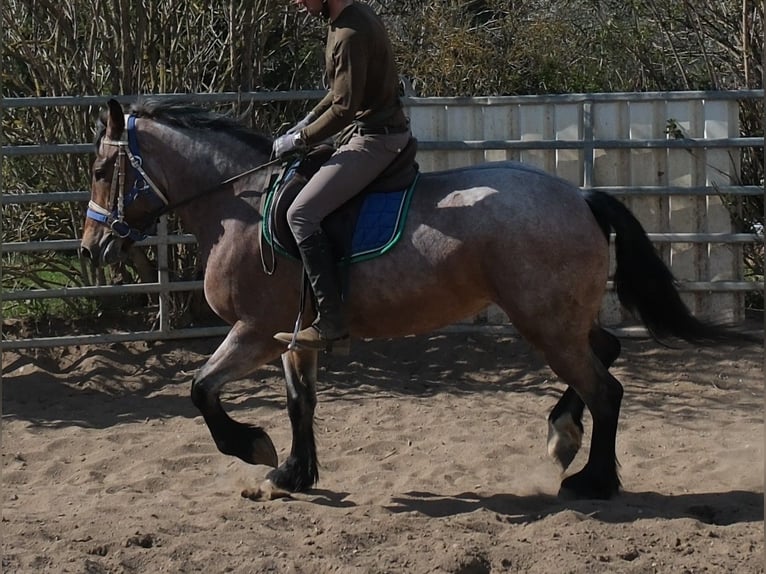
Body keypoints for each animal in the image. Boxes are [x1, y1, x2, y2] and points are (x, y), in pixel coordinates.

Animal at [80, 98, 744, 501]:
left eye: (100, 170)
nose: (91, 247)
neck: (241, 207)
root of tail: (580, 196)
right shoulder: (294, 336)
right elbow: (300, 402)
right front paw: (295, 472)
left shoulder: (254, 331)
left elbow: (200, 389)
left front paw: (254, 448)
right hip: (557, 319)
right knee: (604, 353)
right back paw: (562, 435)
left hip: (546, 324)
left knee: (605, 390)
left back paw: (592, 479)